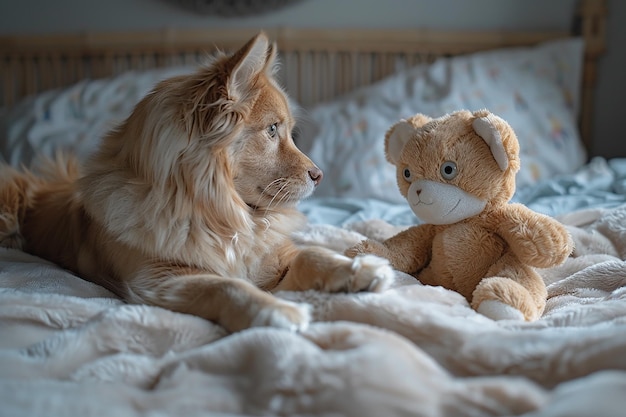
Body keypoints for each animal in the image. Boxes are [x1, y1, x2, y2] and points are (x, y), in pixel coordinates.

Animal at [0, 31, 390, 332]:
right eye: (272, 130)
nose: (319, 175)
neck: (219, 216)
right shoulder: (161, 280)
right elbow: (226, 288)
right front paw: (276, 310)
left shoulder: (276, 259)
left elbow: (313, 254)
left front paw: (358, 269)